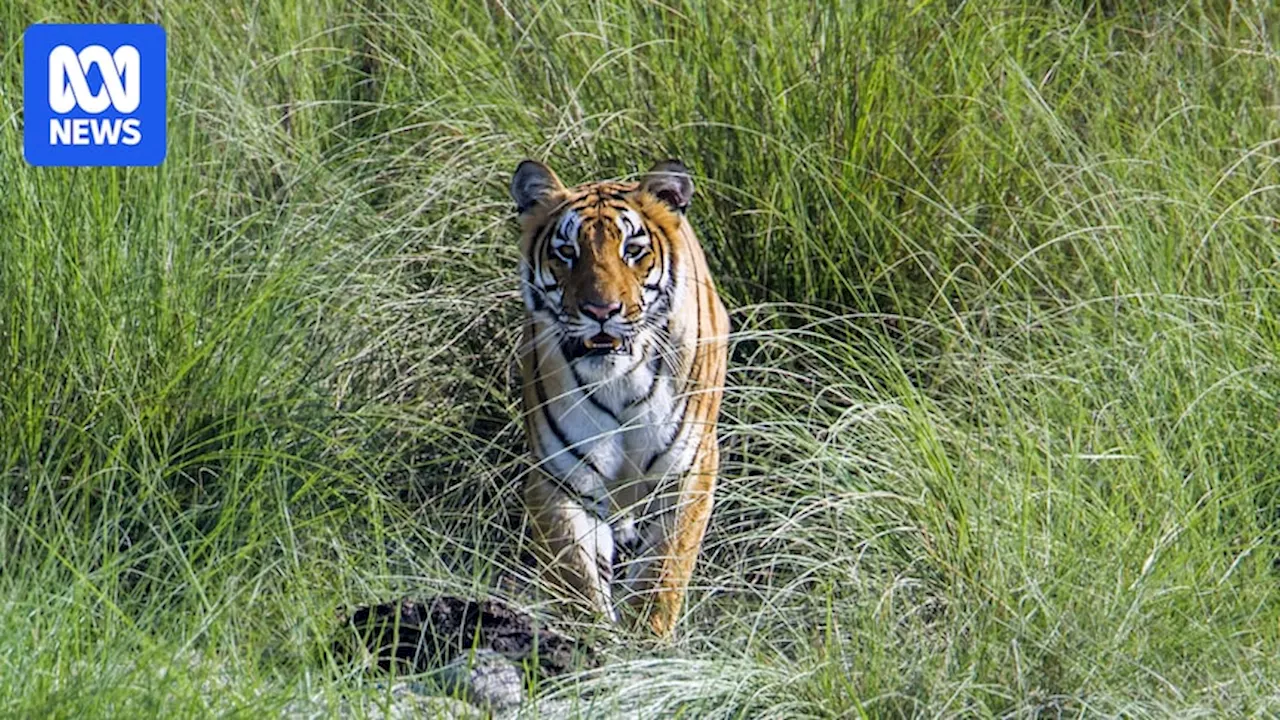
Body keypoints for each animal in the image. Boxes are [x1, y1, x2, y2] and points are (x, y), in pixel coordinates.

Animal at [509, 158, 732, 632]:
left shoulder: (688, 471)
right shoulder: (562, 479)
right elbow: (576, 577)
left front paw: (647, 641)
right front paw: (592, 638)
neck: (620, 381)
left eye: (632, 249)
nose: (601, 311)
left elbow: (661, 575)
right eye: (566, 252)